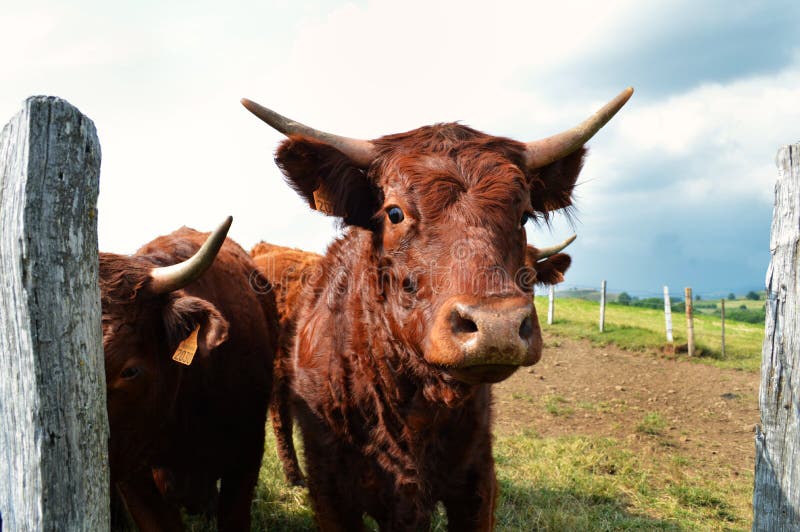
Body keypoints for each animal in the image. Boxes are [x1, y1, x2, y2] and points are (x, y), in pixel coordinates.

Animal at [242, 87, 632, 530]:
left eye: (524, 215)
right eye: (394, 212)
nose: (497, 327)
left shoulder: (478, 481)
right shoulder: (332, 490)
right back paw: (293, 475)